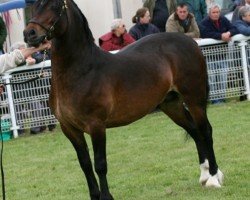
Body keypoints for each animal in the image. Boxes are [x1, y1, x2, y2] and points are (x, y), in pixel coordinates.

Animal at [23, 0, 223, 199]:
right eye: (33, 5)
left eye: (56, 5)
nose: (29, 33)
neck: (82, 70)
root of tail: (190, 42)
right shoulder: (69, 129)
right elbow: (85, 164)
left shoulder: (96, 126)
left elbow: (100, 164)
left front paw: (106, 197)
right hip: (171, 104)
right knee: (194, 131)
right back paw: (204, 175)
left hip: (194, 99)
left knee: (205, 131)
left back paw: (214, 177)